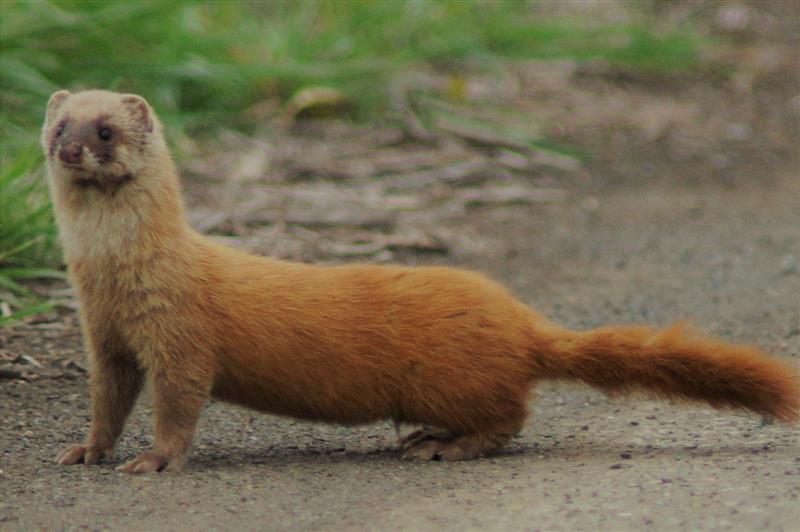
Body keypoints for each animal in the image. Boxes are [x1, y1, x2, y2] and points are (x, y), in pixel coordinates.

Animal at [43, 90, 800, 474]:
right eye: (56, 124)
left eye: (105, 130)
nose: (69, 145)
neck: (112, 278)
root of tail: (523, 321)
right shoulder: (102, 335)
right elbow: (109, 399)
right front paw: (87, 449)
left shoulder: (180, 334)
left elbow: (177, 404)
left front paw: (153, 460)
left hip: (446, 376)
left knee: (510, 417)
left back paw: (440, 443)